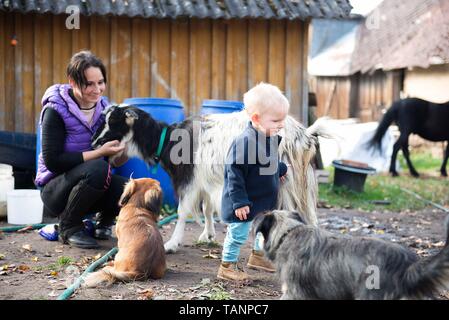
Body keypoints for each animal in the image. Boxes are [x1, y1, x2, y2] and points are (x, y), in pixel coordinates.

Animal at [92, 105, 328, 252]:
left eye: (114, 122)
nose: (95, 143)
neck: (167, 140)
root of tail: (304, 136)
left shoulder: (188, 179)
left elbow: (182, 212)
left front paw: (172, 244)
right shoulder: (205, 180)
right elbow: (206, 209)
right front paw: (208, 235)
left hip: (287, 182)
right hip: (301, 184)